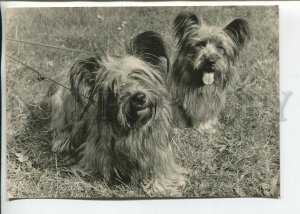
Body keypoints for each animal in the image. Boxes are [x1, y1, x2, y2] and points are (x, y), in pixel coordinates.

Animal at [47, 30, 188, 196]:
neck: (133, 126)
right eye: (115, 85)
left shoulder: (158, 151)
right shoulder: (96, 152)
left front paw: (162, 187)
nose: (139, 97)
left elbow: (161, 171)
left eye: (138, 75)